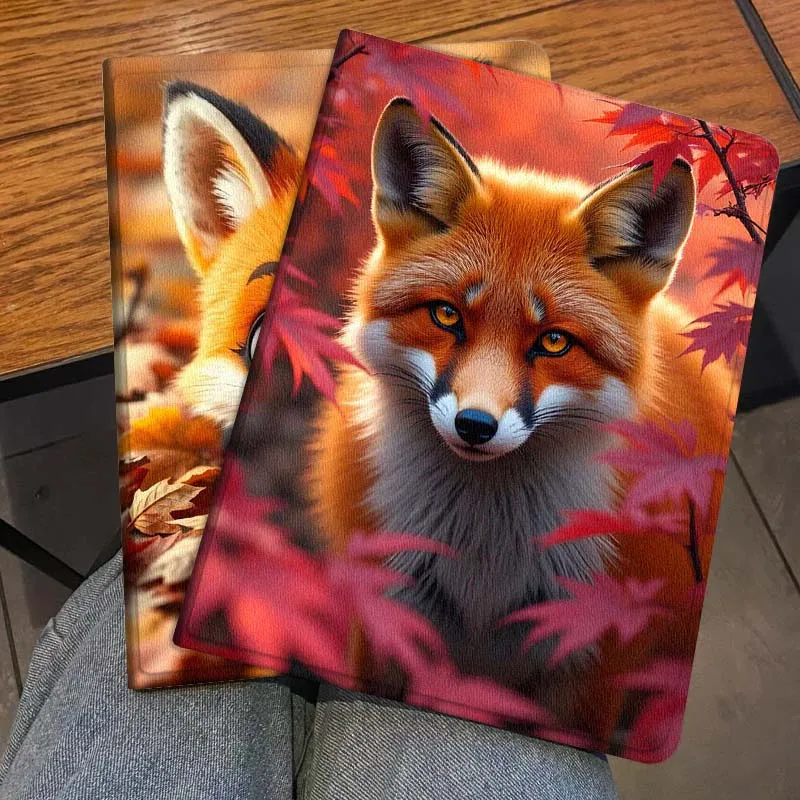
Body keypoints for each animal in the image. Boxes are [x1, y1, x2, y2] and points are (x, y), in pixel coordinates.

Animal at [309, 97, 731, 687]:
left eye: (553, 341)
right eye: (447, 315)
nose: (474, 425)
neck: (485, 556)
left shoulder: (596, 650)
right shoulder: (386, 620)